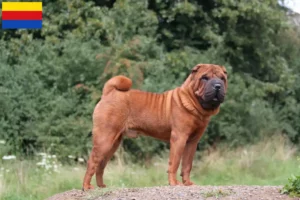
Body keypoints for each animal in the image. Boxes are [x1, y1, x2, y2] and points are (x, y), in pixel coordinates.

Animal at [82, 63, 227, 190]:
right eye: (204, 78)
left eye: (222, 78)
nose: (218, 85)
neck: (195, 103)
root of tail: (109, 92)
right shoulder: (179, 138)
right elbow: (174, 163)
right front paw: (174, 183)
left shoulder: (192, 142)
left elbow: (187, 165)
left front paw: (188, 183)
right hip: (104, 139)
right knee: (92, 162)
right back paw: (86, 187)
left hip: (113, 143)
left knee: (101, 165)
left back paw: (101, 186)